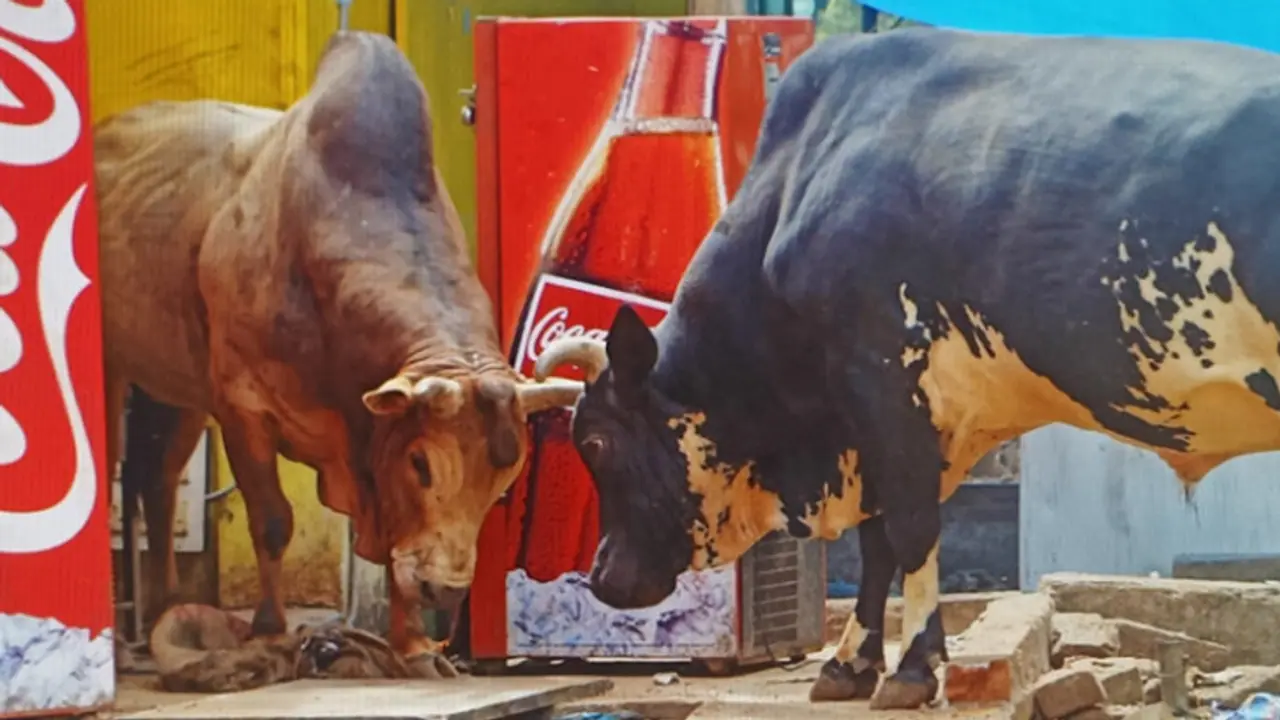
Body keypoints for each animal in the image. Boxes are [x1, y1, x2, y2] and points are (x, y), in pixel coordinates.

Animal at [93, 30, 582, 673]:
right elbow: (273, 520)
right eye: (422, 463)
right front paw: (270, 631)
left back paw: (166, 612)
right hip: (117, 367)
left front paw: (413, 647)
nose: (445, 592)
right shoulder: (242, 406)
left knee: (157, 479)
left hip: (180, 387)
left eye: (506, 479)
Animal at [533, 26, 1280, 710]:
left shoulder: (885, 381)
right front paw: (850, 664)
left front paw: (913, 670)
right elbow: (878, 543)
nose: (601, 577)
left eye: (594, 441)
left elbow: (910, 529)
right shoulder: (885, 426)